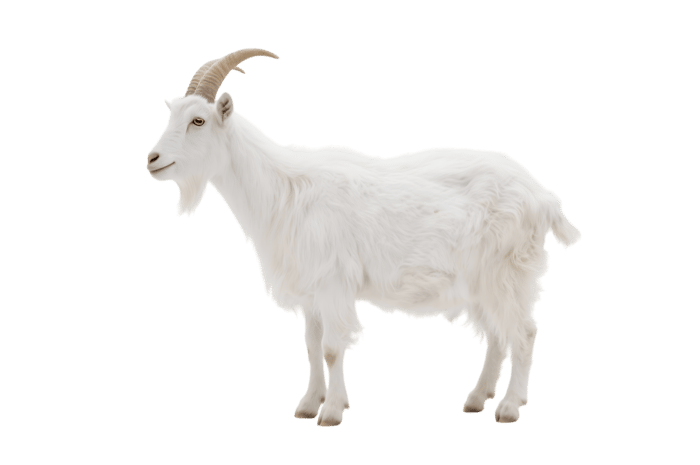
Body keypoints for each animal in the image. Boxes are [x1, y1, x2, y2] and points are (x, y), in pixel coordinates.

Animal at [145, 48, 582, 427]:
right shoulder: (312, 289)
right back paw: (477, 399)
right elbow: (311, 345)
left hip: (507, 272)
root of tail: (542, 195)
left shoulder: (334, 282)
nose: (152, 160)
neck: (285, 190)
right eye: (172, 114)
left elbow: (332, 347)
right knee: (496, 335)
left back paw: (509, 407)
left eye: (198, 121)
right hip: (480, 280)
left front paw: (332, 412)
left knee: (523, 333)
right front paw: (308, 404)